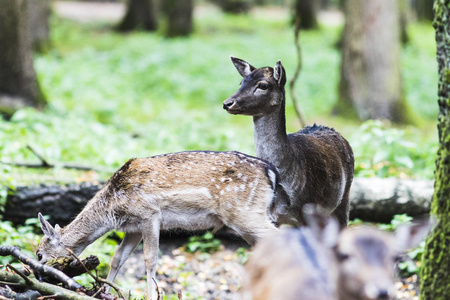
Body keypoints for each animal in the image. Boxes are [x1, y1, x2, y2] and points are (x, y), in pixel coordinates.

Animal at [34, 151, 288, 300]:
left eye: (38, 254)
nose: (36, 272)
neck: (112, 210)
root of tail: (272, 172)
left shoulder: (149, 214)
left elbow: (150, 259)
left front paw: (151, 295)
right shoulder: (133, 228)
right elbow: (118, 258)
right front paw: (103, 291)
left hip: (244, 213)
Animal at [222, 56, 356, 227]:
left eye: (263, 85)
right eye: (242, 82)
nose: (227, 103)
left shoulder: (306, 212)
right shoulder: (271, 217)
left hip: (344, 197)